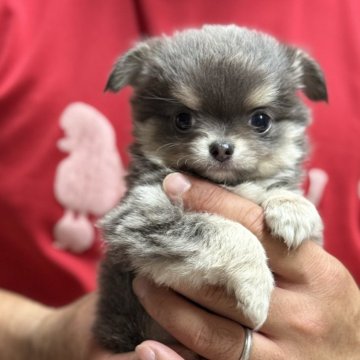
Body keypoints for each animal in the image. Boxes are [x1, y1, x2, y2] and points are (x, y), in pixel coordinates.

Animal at [93, 24, 326, 352]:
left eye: (261, 120)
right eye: (182, 119)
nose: (221, 148)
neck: (228, 184)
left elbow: (275, 188)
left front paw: (293, 208)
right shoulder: (139, 218)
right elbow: (227, 231)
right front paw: (256, 287)